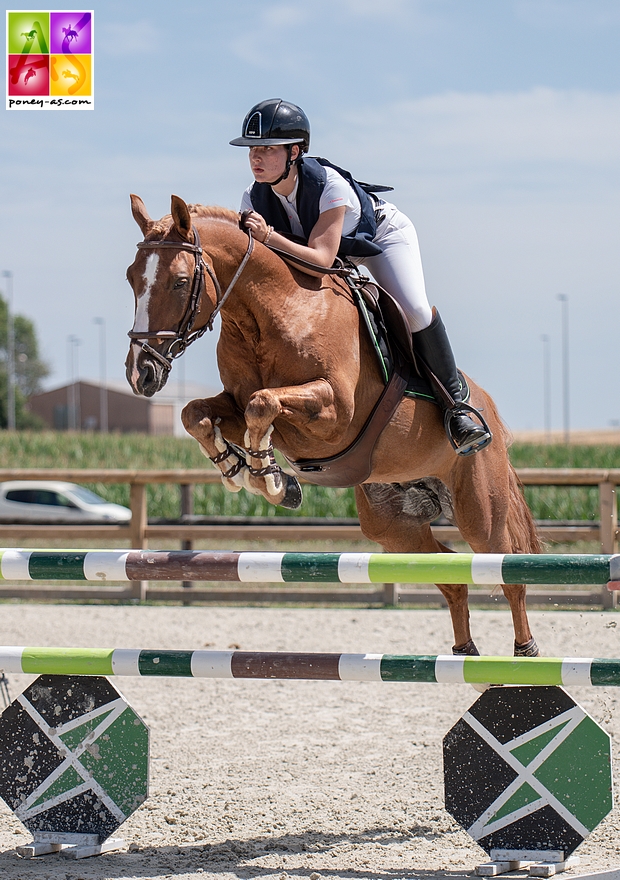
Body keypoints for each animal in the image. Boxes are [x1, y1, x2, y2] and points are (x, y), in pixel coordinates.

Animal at [124, 194, 536, 660]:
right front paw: (241, 469)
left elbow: (263, 404)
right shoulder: (235, 402)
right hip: (392, 525)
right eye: (131, 278)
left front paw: (269, 478)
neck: (270, 314)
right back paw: (465, 654)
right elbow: (197, 413)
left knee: (508, 572)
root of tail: (490, 412)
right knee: (449, 573)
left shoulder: (336, 410)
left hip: (479, 511)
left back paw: (525, 655)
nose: (141, 374)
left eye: (178, 282)